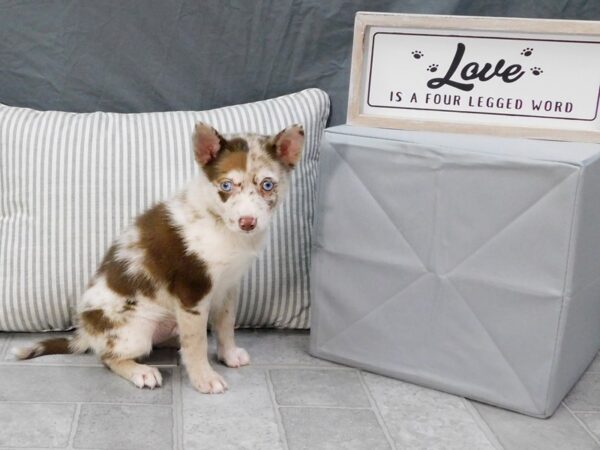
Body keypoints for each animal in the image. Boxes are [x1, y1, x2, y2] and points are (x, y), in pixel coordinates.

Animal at [12, 123, 304, 394]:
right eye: (226, 186)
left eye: (267, 185)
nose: (247, 222)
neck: (218, 222)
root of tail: (87, 333)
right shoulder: (192, 293)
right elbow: (196, 342)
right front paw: (204, 378)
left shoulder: (228, 287)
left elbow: (225, 325)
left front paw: (229, 355)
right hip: (135, 331)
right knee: (107, 357)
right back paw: (141, 371)